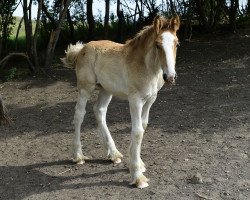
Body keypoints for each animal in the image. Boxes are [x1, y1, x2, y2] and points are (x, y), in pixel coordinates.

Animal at [62, 15, 180, 188]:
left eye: (177, 44)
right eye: (158, 45)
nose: (170, 77)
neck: (147, 67)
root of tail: (82, 49)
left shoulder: (151, 99)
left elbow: (143, 126)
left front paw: (137, 164)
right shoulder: (135, 99)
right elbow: (137, 131)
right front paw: (138, 176)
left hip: (106, 89)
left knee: (99, 111)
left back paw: (113, 154)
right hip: (85, 88)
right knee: (79, 115)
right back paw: (78, 156)